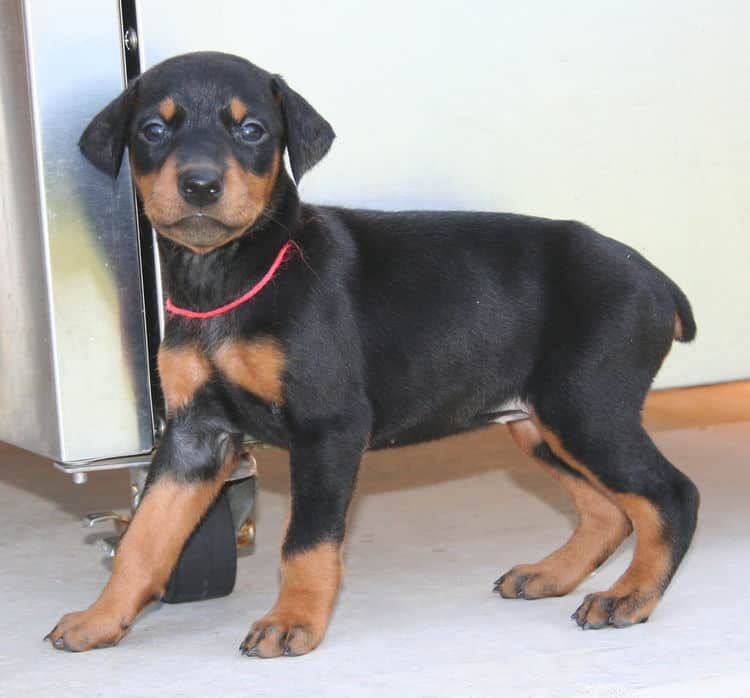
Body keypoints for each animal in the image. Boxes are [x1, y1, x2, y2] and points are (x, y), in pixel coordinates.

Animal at [50, 50, 704, 652]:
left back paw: (629, 598)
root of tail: (655, 279)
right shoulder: (195, 434)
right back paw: (551, 575)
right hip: (539, 423)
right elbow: (145, 538)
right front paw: (99, 620)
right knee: (608, 511)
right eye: (152, 131)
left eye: (252, 129)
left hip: (585, 408)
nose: (201, 185)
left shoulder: (329, 427)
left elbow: (306, 540)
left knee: (671, 495)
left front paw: (292, 622)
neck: (231, 275)